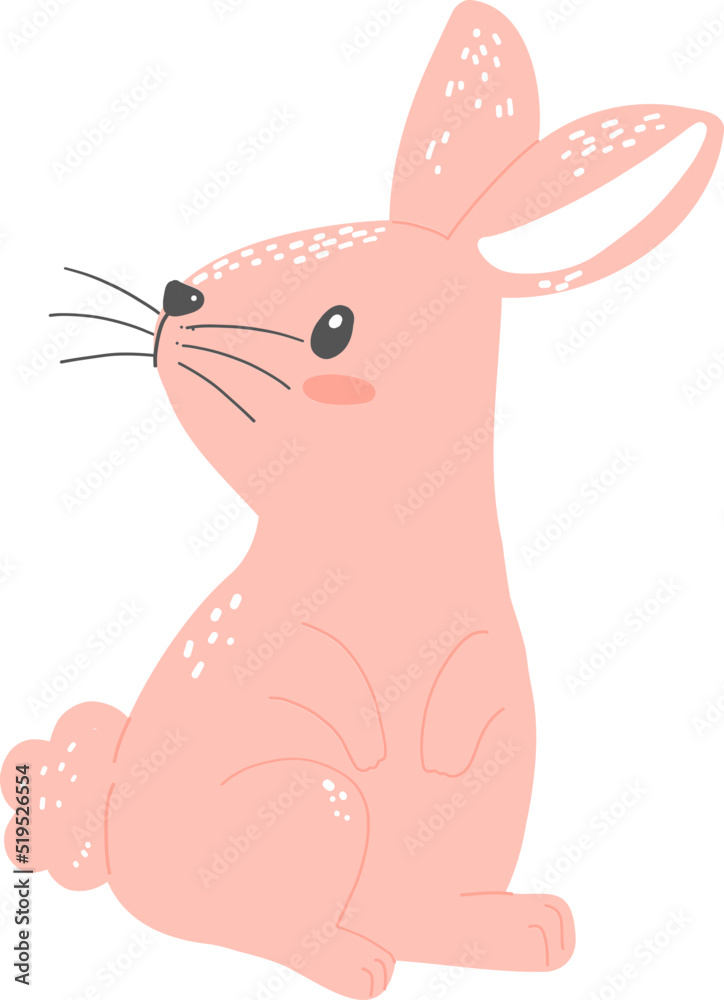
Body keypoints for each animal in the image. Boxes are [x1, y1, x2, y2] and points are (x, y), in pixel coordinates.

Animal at [3, 2, 721, 997]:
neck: (386, 529)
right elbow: (334, 688)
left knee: (414, 914)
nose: (179, 293)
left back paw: (513, 931)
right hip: (317, 799)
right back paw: (355, 959)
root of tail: (110, 840)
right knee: (260, 924)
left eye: (335, 327)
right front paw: (377, 736)